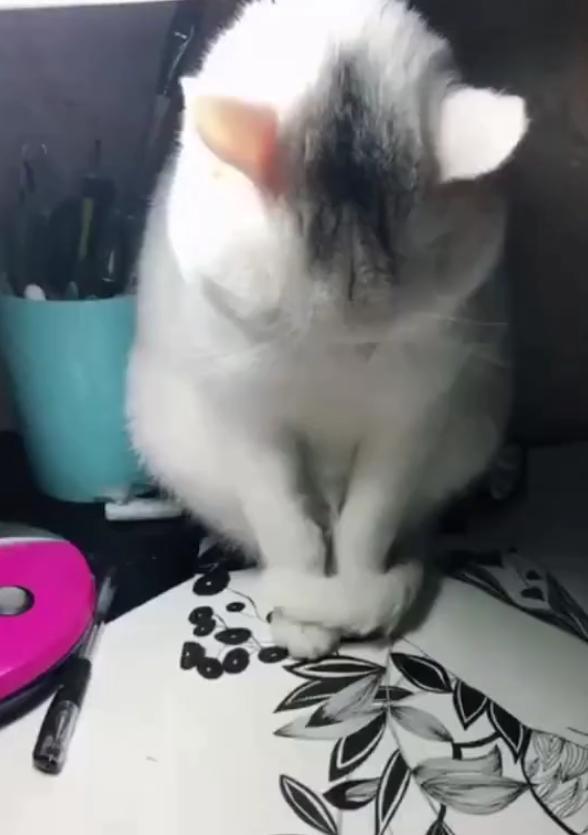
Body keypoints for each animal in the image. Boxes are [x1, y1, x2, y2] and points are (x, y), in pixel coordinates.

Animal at [127, 0, 528, 659]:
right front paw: (306, 619)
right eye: (296, 311)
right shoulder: (248, 416)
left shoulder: (412, 418)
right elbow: (289, 528)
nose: (360, 352)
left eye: (406, 300)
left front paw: (354, 591)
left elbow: (367, 524)